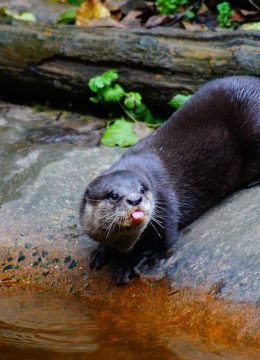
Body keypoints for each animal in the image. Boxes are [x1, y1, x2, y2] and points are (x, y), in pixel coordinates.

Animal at [80, 75, 260, 284]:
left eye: (142, 189)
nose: (135, 200)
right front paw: (102, 251)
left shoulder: (165, 210)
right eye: (114, 195)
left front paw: (127, 265)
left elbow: (159, 244)